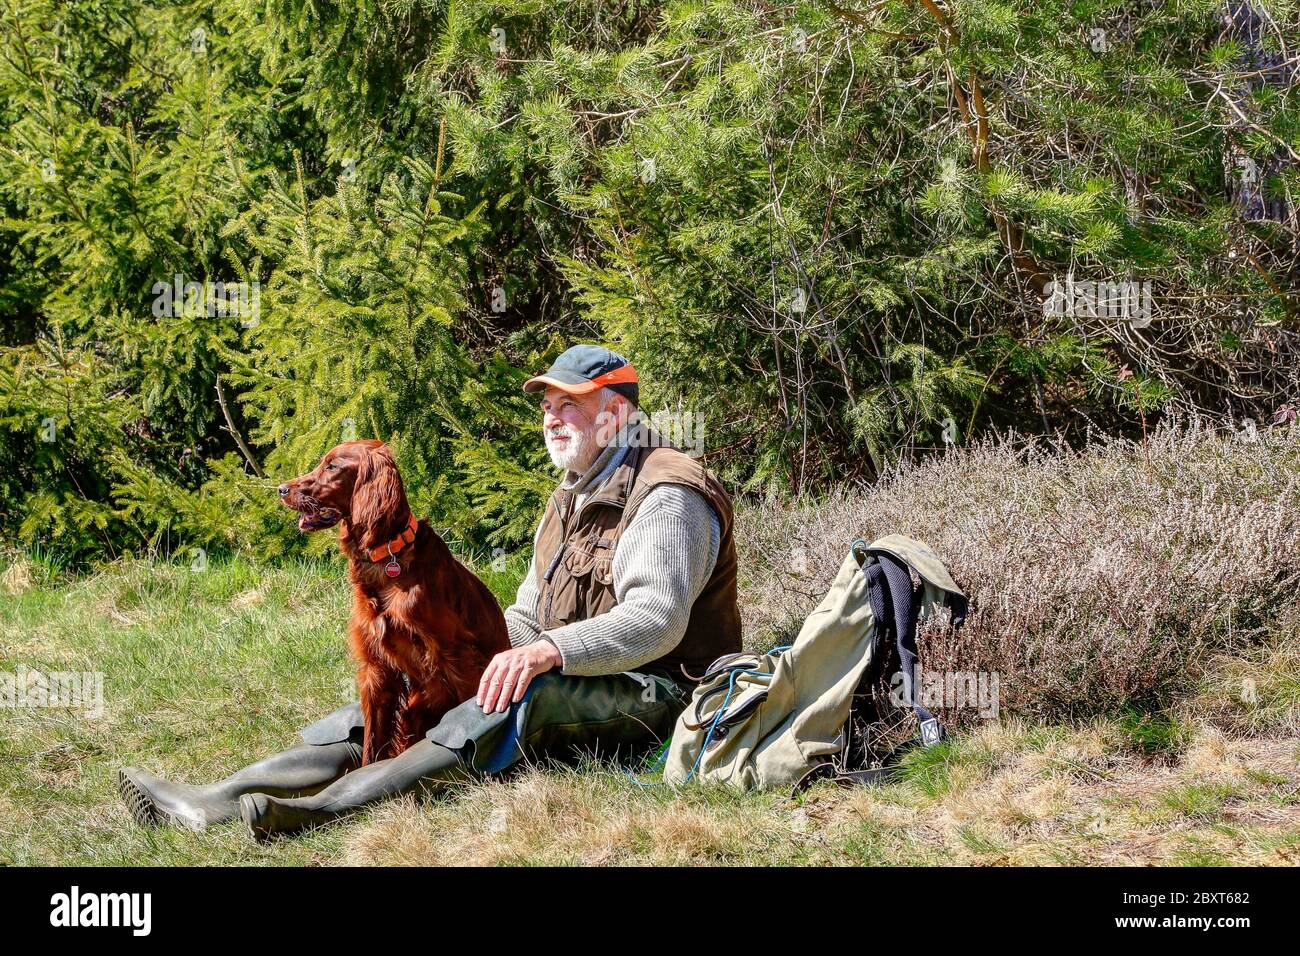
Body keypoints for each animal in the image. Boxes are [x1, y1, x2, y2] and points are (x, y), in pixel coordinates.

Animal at [279, 439, 506, 764]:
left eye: (332, 466)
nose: (281, 489)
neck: (387, 556)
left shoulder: (457, 655)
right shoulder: (376, 669)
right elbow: (373, 743)